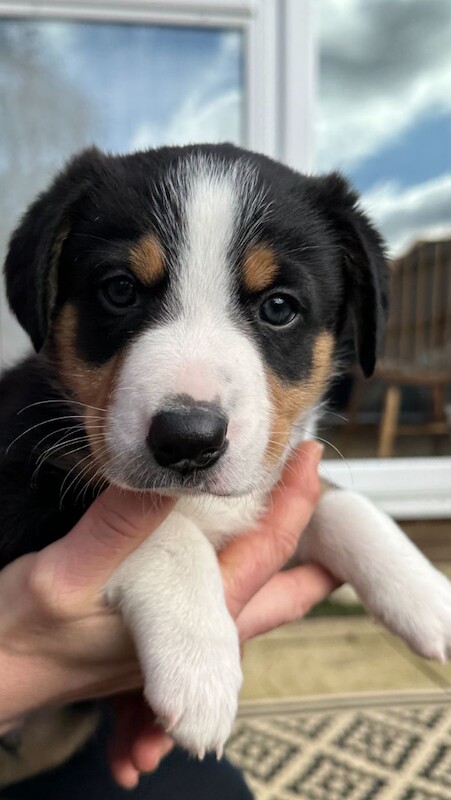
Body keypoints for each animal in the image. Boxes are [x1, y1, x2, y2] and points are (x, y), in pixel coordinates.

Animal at [0, 144, 451, 780]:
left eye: (279, 307)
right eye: (120, 290)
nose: (188, 439)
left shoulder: (269, 480)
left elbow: (341, 502)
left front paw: (427, 595)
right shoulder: (23, 486)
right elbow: (163, 528)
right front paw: (202, 673)